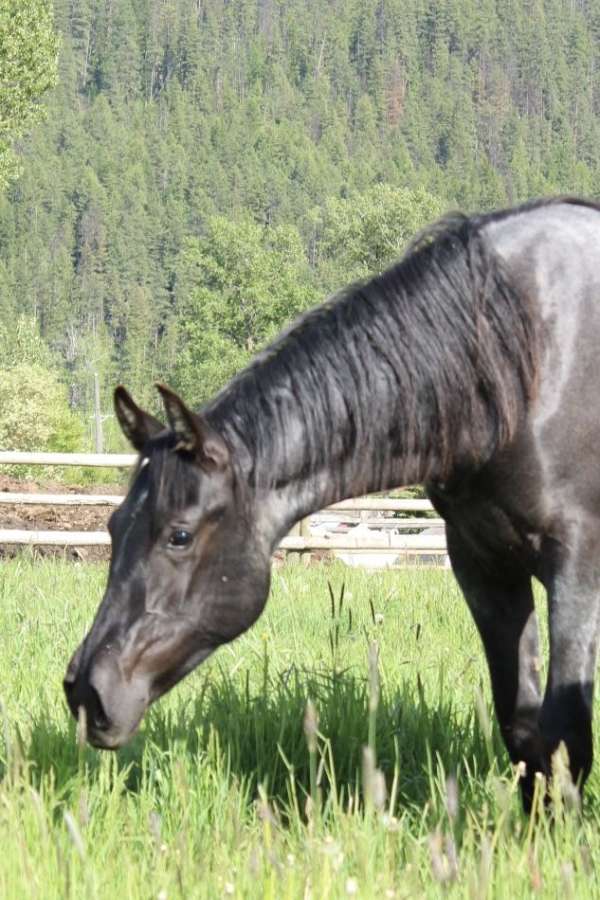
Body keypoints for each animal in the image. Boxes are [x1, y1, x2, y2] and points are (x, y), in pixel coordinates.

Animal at [64, 197, 600, 810]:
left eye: (179, 535)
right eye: (112, 526)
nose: (86, 693)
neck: (526, 353)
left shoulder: (577, 564)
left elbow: (566, 736)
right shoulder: (483, 565)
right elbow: (524, 730)